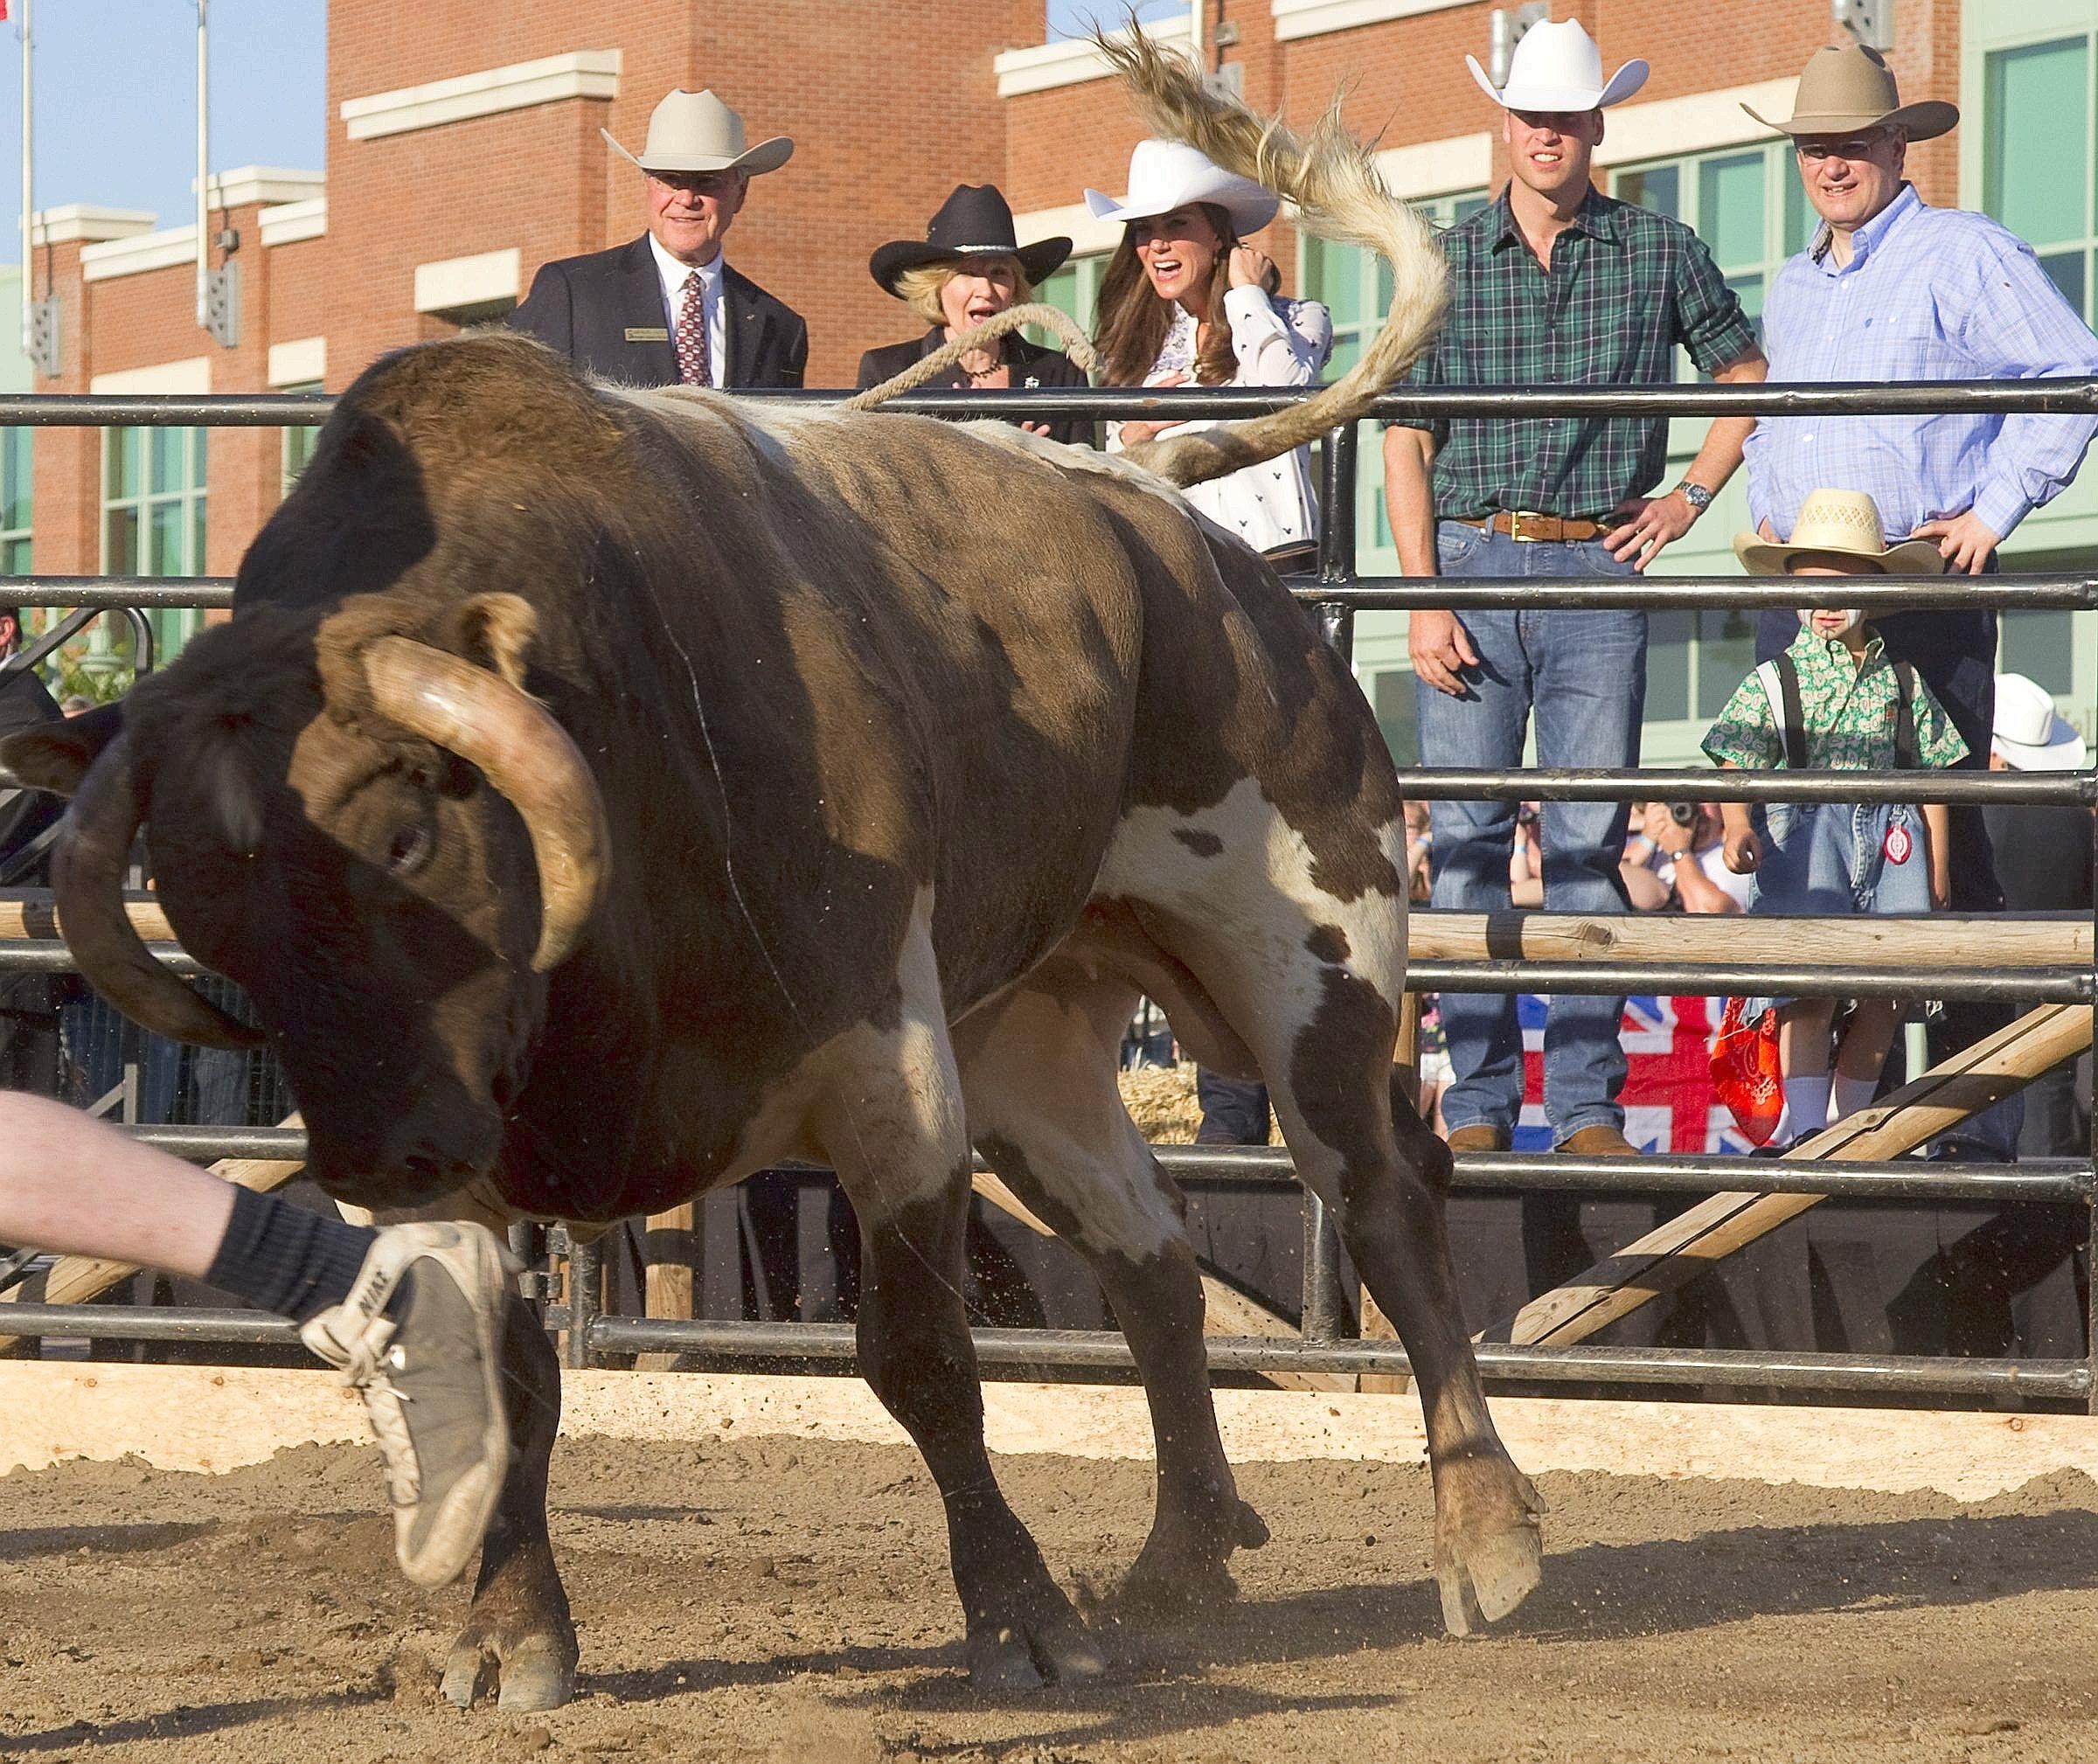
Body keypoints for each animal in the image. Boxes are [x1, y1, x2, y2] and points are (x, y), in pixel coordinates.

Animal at [0, 45, 1544, 1703]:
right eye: (200, 900)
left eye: (406, 833)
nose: (367, 1157)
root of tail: (1159, 493)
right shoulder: (488, 1131)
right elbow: (515, 1368)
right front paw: (512, 1630)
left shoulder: (891, 1069)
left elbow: (921, 1357)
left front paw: (1016, 1613)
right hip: (1032, 1033)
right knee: (1154, 1259)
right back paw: (1182, 1557)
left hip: (1312, 947)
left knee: (1381, 1192)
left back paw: (1484, 1535)